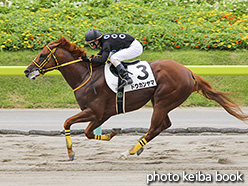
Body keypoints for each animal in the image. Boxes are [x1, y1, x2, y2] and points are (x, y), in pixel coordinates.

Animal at [23, 37, 248, 161]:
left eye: (42, 55)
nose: (27, 71)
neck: (86, 75)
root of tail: (188, 72)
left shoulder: (95, 111)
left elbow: (67, 122)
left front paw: (71, 152)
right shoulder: (101, 114)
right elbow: (87, 132)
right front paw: (111, 133)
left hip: (163, 101)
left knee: (156, 127)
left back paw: (129, 151)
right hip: (161, 102)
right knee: (164, 125)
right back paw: (136, 149)